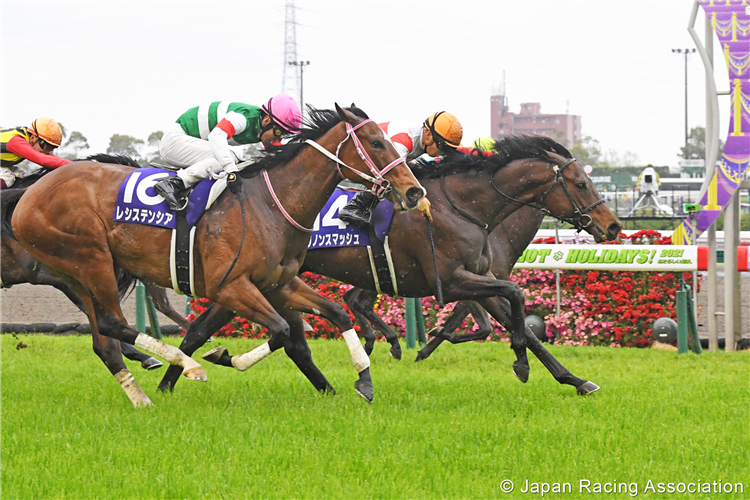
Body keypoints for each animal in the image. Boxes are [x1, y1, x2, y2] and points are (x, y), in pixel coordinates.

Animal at [10, 105, 428, 402]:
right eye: (376, 142)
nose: (414, 191)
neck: (269, 205)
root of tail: (29, 194)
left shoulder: (279, 284)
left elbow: (336, 314)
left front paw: (364, 379)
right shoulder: (229, 286)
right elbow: (279, 331)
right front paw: (223, 357)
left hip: (75, 275)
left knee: (104, 339)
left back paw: (143, 396)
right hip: (91, 258)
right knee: (114, 324)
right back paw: (188, 366)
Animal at [166, 134, 624, 394]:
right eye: (581, 183)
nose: (614, 225)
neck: (464, 207)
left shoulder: (479, 278)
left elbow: (519, 323)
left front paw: (572, 379)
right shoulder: (454, 280)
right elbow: (511, 305)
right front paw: (518, 362)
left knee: (213, 328)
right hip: (251, 279)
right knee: (207, 328)